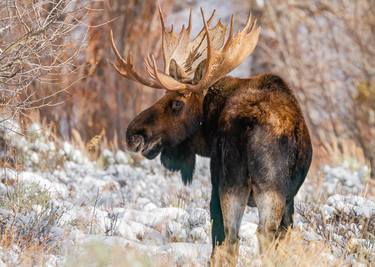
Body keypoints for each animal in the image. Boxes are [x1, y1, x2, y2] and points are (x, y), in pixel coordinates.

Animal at [110, 5, 312, 267]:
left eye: (176, 103)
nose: (133, 133)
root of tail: (250, 123)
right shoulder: (288, 197)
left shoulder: (220, 177)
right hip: (265, 188)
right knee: (255, 235)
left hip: (240, 183)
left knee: (235, 237)